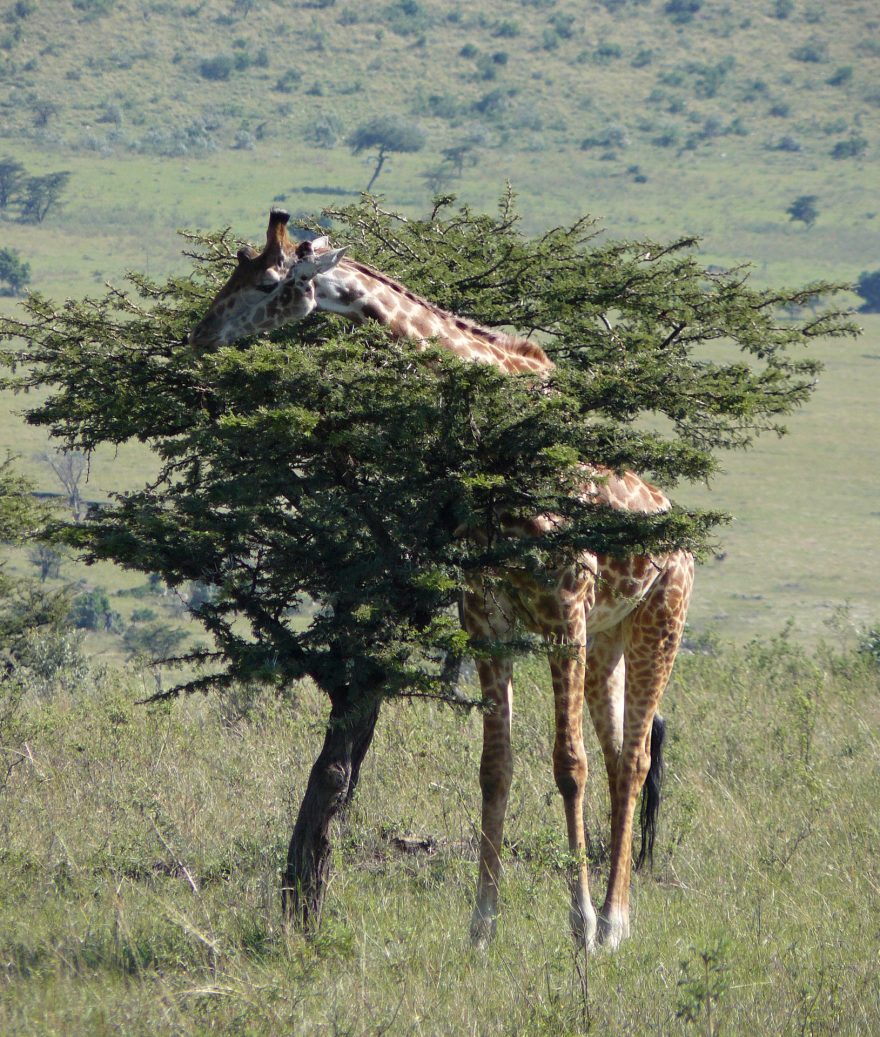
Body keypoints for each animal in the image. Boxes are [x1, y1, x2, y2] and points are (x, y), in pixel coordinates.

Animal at [190, 208, 692, 949]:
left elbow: (565, 765)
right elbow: (495, 766)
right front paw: (481, 928)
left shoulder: (562, 607)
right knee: (619, 754)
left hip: (662, 616)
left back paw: (612, 925)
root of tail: (679, 533)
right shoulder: (485, 614)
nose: (198, 336)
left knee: (629, 758)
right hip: (609, 637)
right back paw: (609, 915)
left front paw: (576, 927)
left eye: (265, 282)